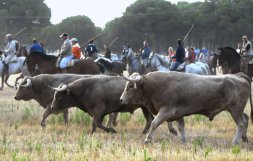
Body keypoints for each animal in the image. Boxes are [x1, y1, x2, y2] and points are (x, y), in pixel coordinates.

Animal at [121, 71, 253, 145]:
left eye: (131, 86)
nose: (121, 99)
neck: (154, 85)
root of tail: (238, 75)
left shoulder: (166, 111)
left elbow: (154, 123)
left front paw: (147, 139)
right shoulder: (178, 113)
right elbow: (181, 127)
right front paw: (183, 141)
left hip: (235, 110)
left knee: (241, 123)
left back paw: (235, 141)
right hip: (237, 111)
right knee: (246, 119)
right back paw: (244, 138)